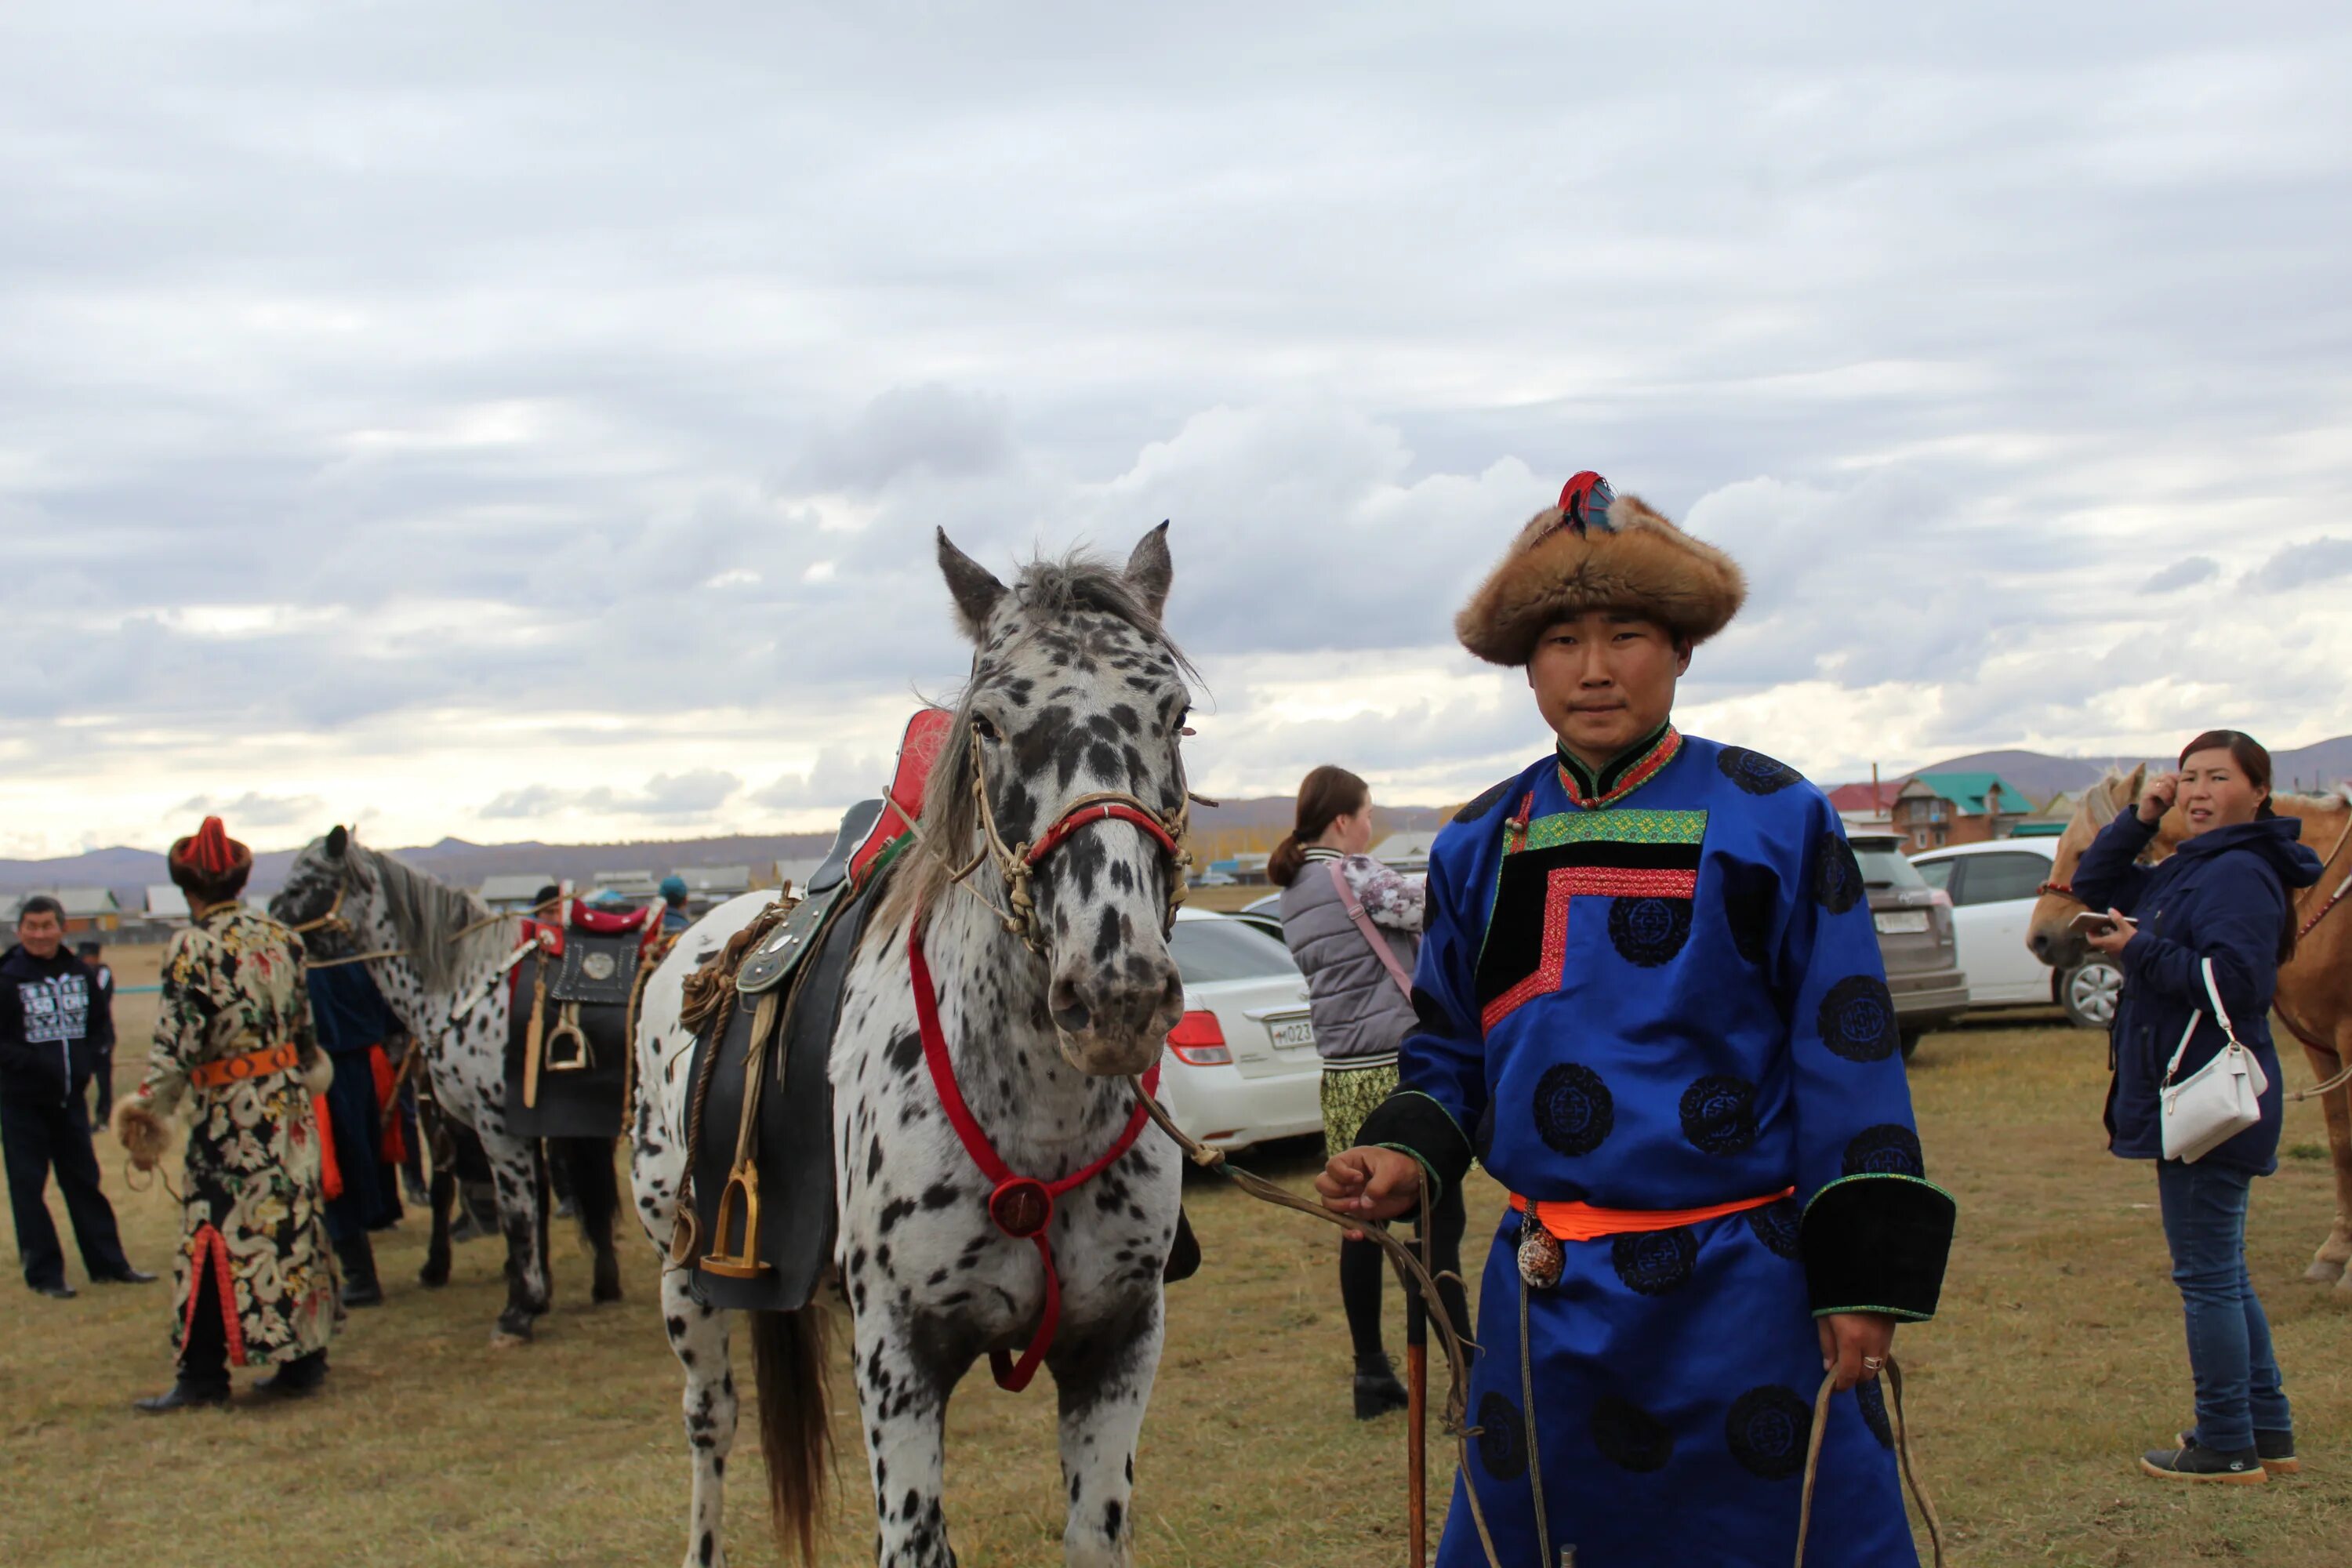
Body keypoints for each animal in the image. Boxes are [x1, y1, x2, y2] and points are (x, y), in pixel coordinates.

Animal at [269, 841, 626, 1345]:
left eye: (306, 882)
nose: (272, 931)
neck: (468, 985)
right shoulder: (520, 1123)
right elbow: (532, 1205)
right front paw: (538, 1295)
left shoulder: (496, 1126)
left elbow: (517, 1213)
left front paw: (518, 1311)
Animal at [630, 526, 1195, 1568]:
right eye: (990, 724)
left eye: (1174, 715)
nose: (1117, 994)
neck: (1038, 1123)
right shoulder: (900, 1360)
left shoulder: (1117, 1345)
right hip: (683, 1276)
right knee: (711, 1423)